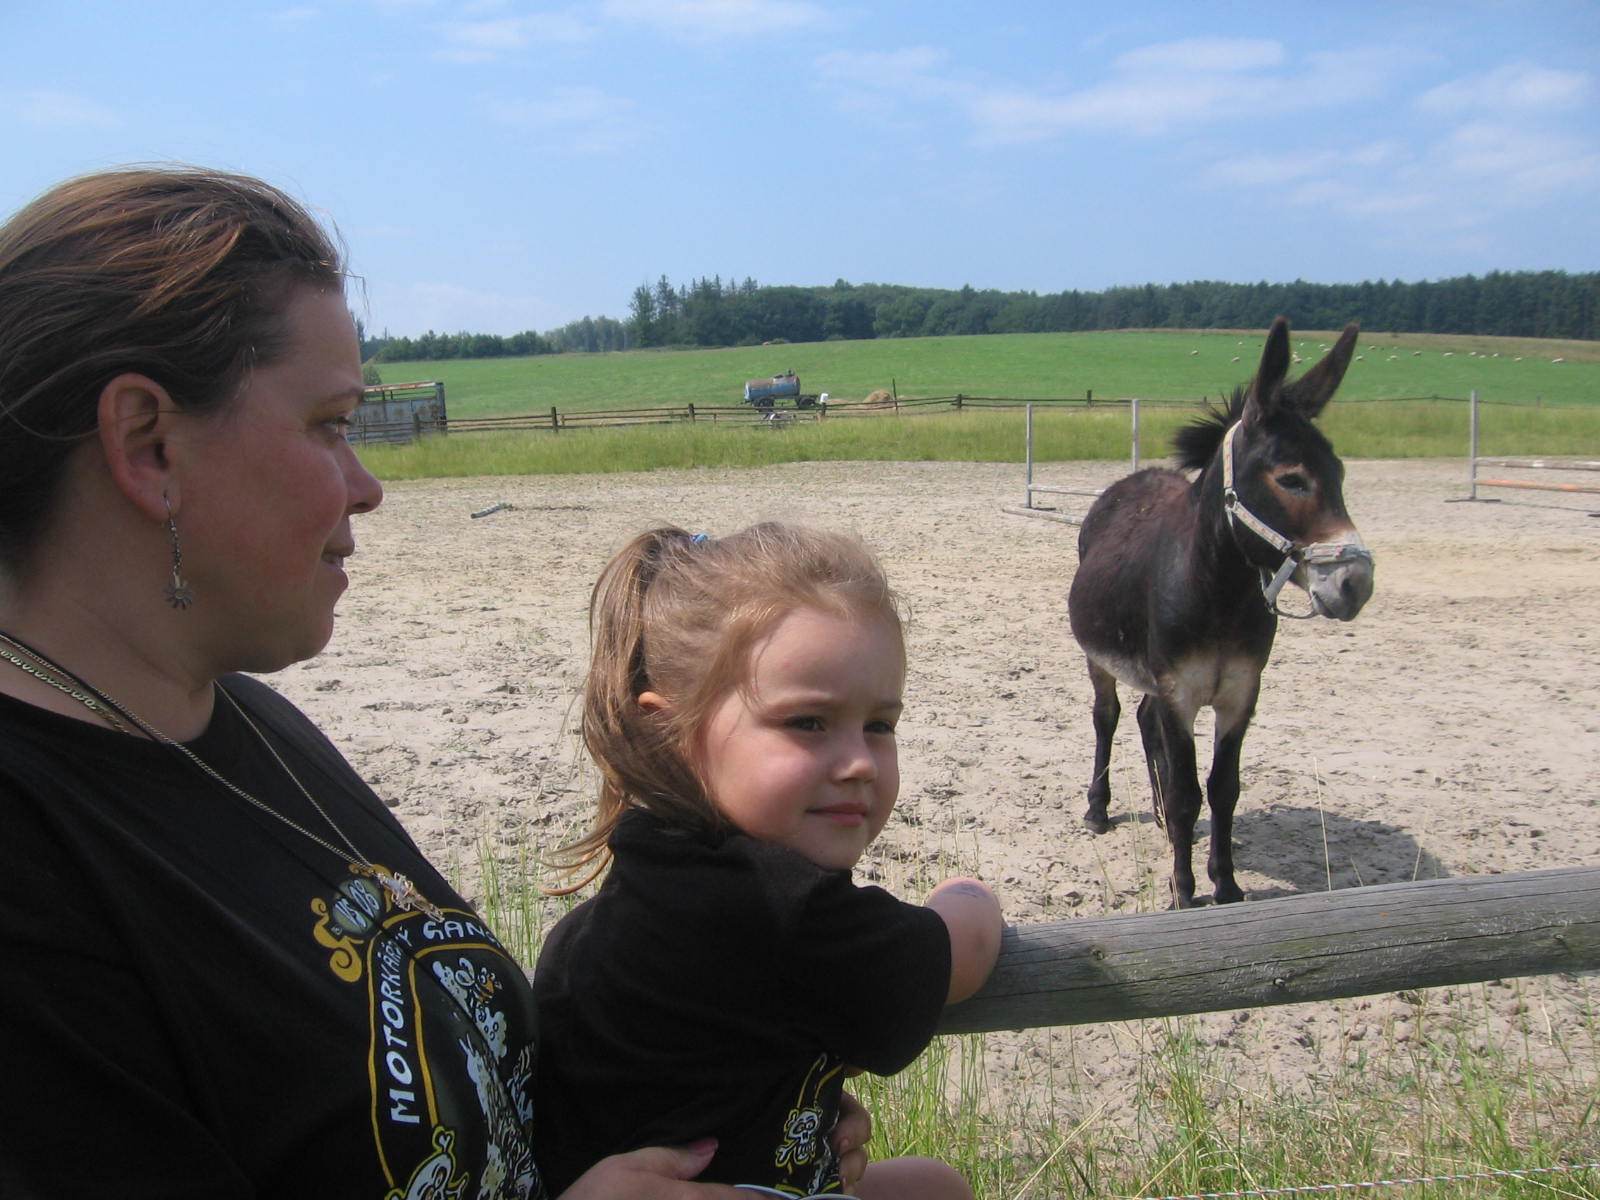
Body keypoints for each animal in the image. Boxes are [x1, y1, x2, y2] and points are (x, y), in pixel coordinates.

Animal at [1065, 317, 1375, 908]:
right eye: (1292, 478)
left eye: (1341, 474)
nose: (1357, 584)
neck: (1218, 594)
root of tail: (1137, 477)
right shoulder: (1180, 694)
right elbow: (1190, 792)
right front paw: (1184, 894)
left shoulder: (1239, 696)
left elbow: (1223, 788)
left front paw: (1226, 885)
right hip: (1103, 662)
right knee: (1107, 718)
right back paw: (1099, 809)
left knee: (1145, 722)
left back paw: (1161, 820)